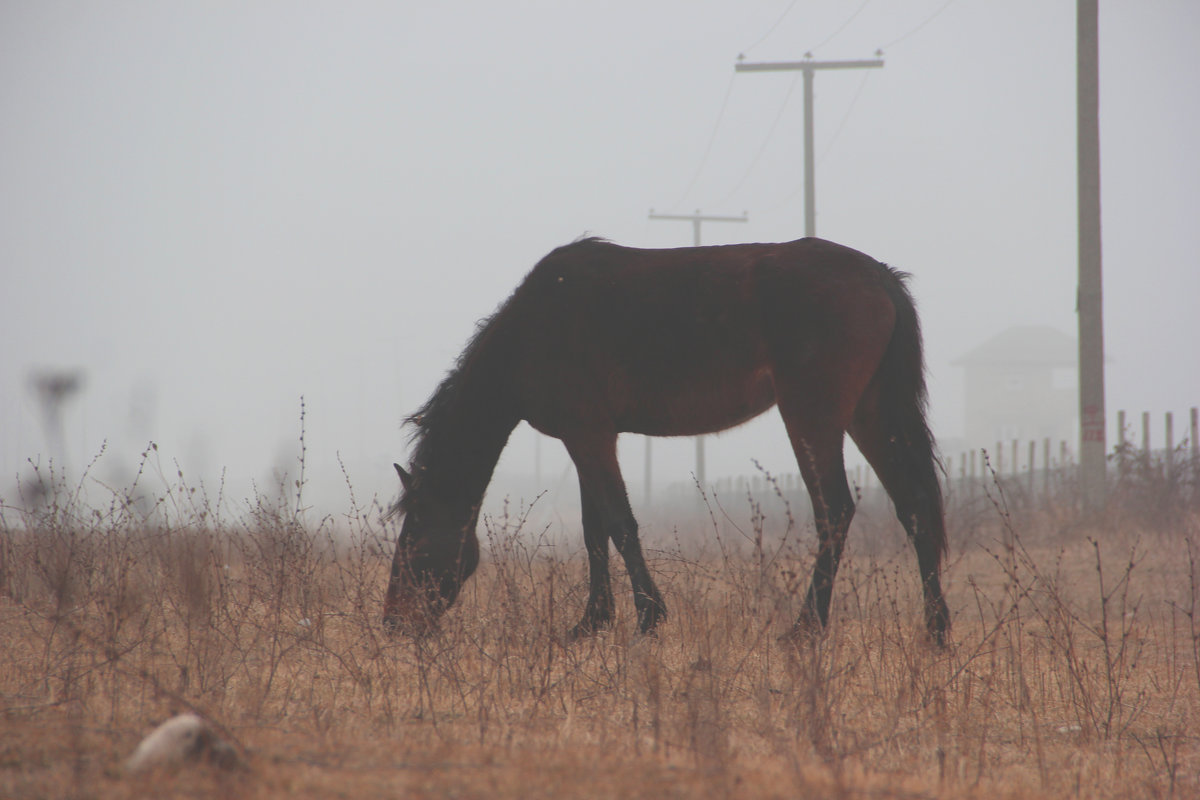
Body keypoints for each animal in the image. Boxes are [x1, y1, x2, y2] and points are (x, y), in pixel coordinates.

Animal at [381, 236, 945, 642]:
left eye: (411, 545)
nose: (393, 623)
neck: (533, 330)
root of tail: (879, 276)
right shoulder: (586, 437)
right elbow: (593, 531)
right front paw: (590, 623)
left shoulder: (588, 435)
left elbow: (619, 525)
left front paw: (649, 618)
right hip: (870, 413)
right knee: (915, 506)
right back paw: (935, 630)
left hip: (813, 417)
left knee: (835, 510)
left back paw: (805, 628)